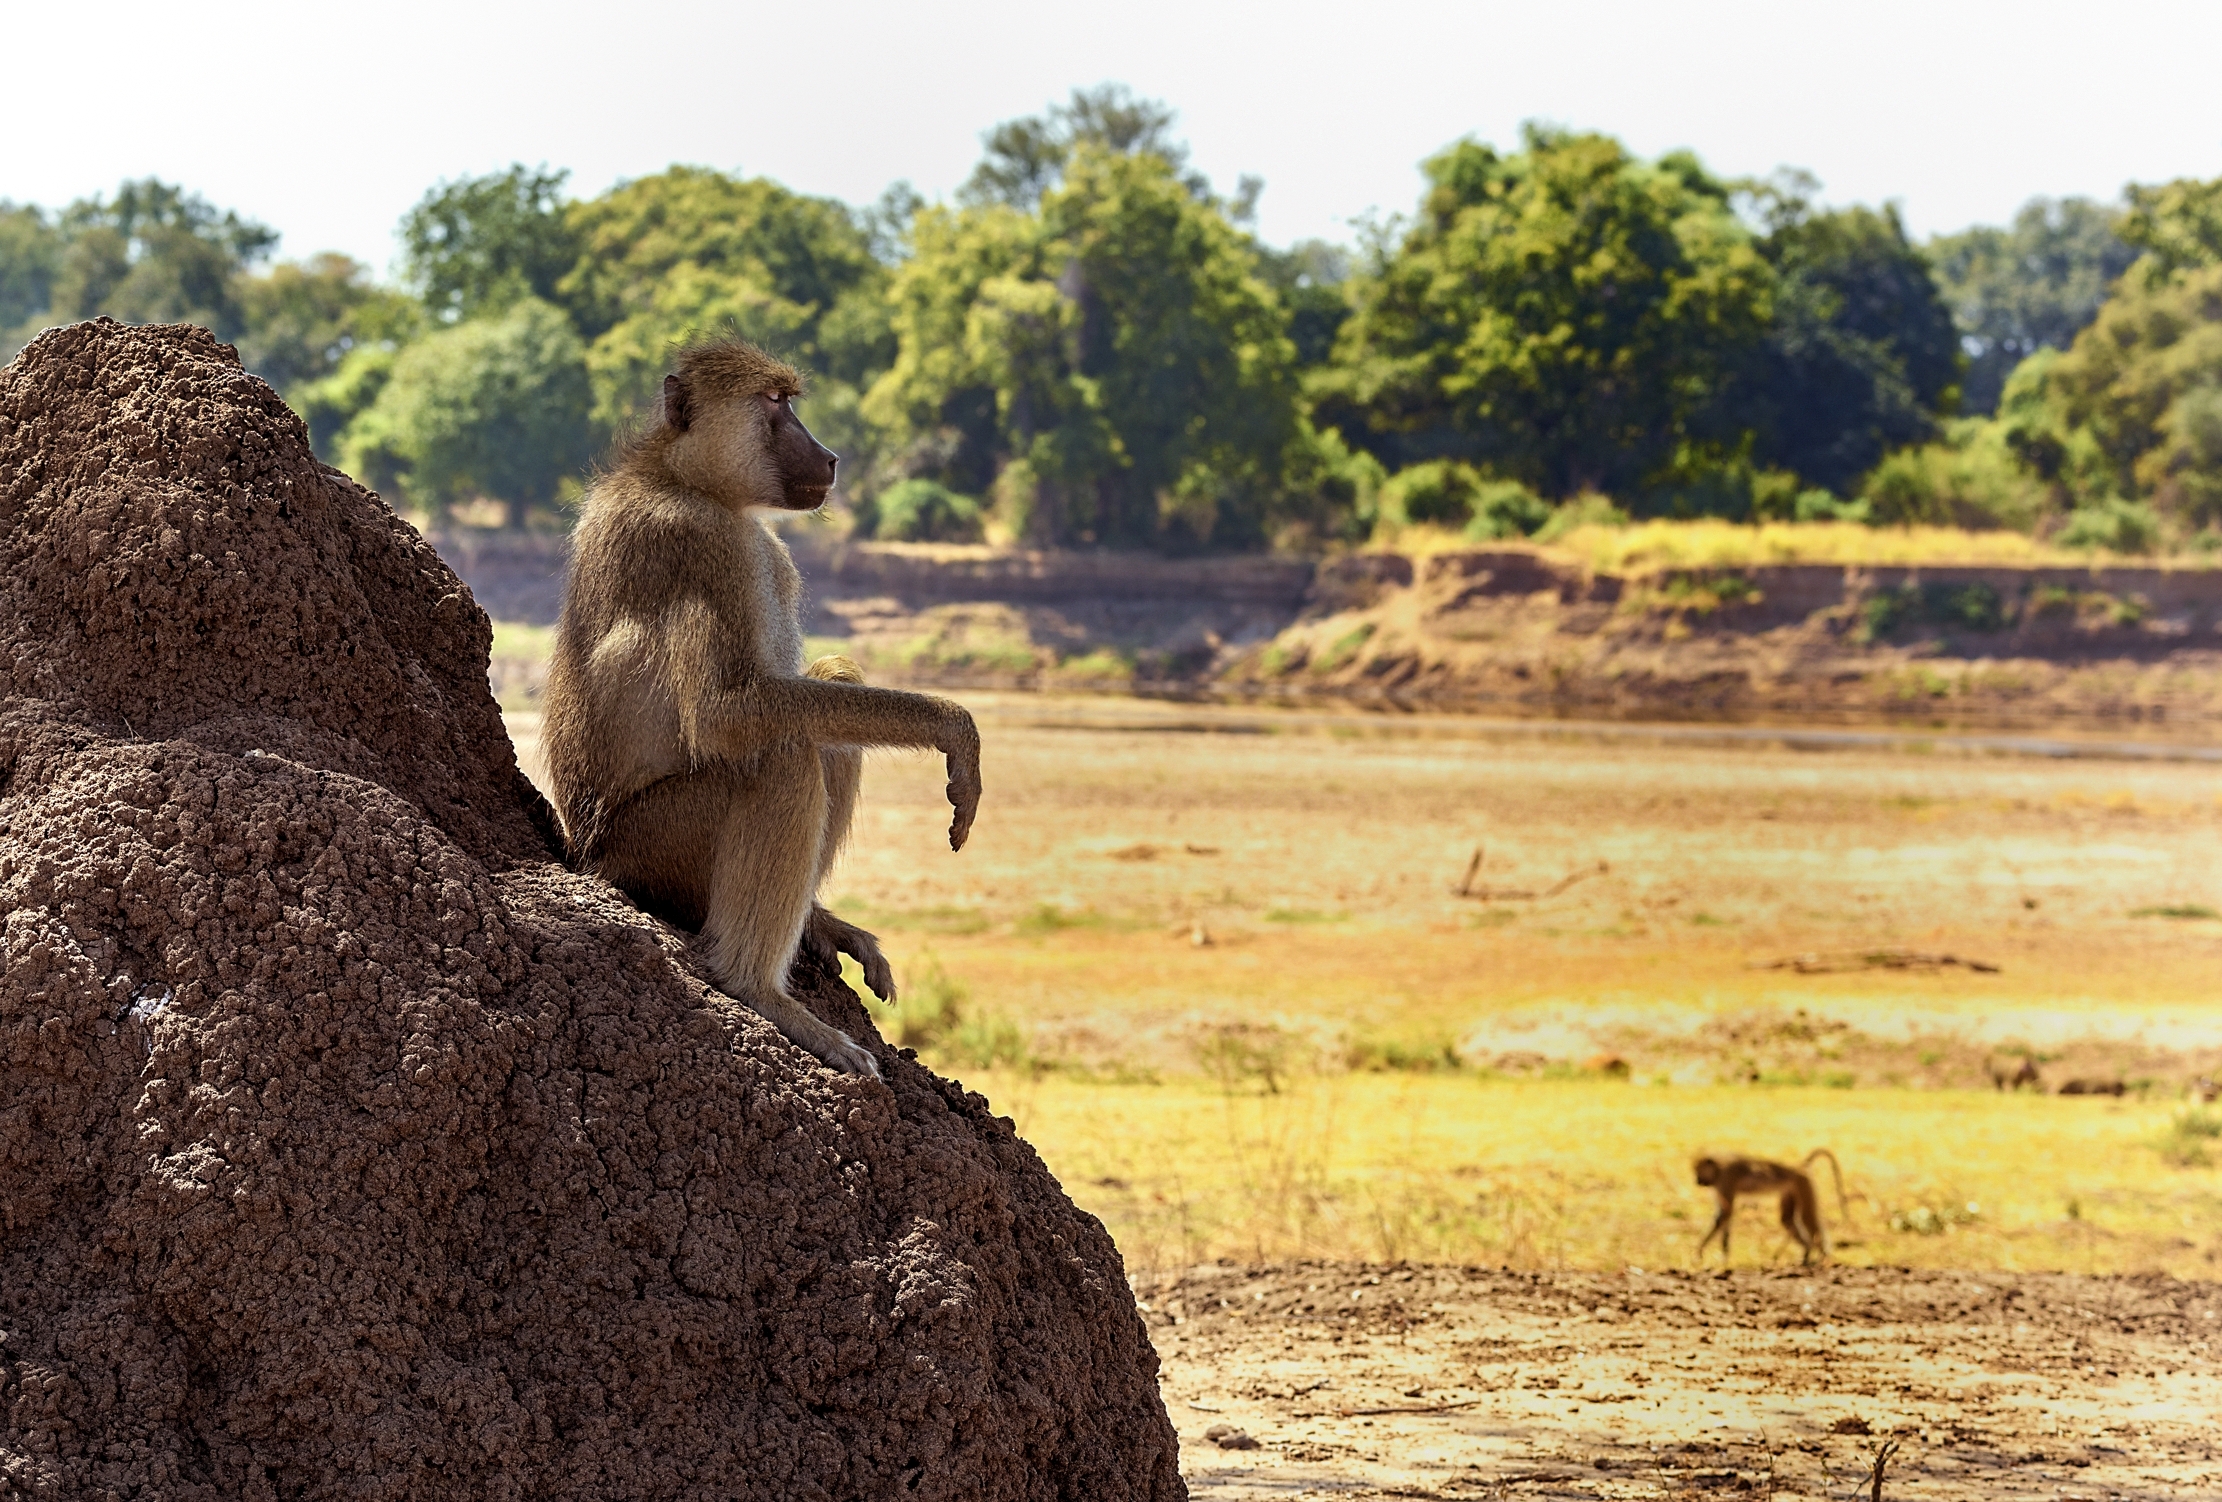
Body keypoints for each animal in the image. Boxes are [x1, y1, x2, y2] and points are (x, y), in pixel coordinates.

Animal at [540, 336, 981, 1079]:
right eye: (775, 404)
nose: (829, 457)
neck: (685, 476)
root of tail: (587, 857)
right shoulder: (697, 541)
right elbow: (728, 716)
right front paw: (952, 726)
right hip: (654, 848)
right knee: (782, 754)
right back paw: (757, 990)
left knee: (826, 697)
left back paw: (812, 926)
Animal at [1692, 1150, 1847, 1266]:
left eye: (1698, 1172)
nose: (1697, 1181)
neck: (1719, 1168)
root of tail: (1799, 1167)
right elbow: (1726, 1216)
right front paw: (1724, 1258)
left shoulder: (1725, 1179)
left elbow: (1725, 1213)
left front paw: (1699, 1252)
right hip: (1791, 1191)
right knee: (1787, 1219)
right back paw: (1806, 1253)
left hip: (1804, 1185)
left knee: (1807, 1217)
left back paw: (1822, 1256)